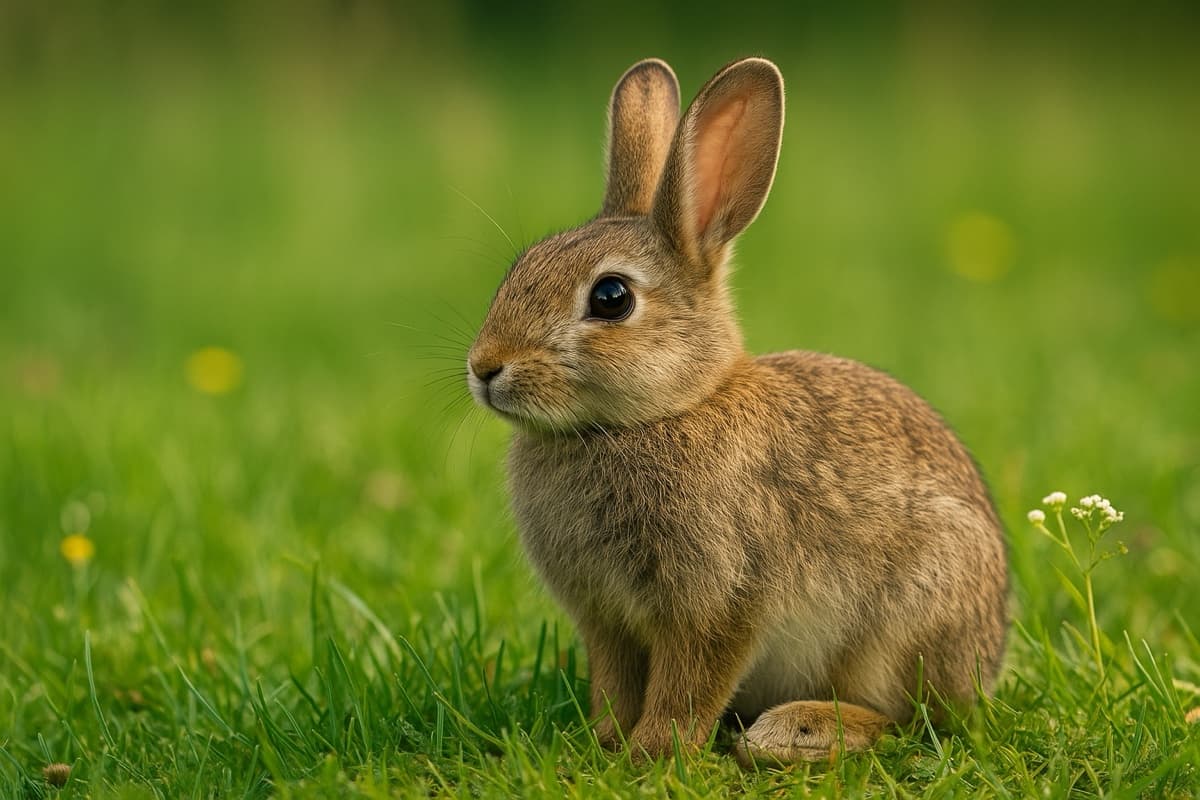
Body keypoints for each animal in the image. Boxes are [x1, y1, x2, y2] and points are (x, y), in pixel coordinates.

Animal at [466, 57, 1008, 766]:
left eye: (611, 297)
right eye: (519, 268)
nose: (484, 368)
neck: (658, 414)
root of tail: (990, 658)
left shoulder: (720, 601)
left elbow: (689, 687)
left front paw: (653, 754)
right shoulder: (605, 621)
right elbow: (615, 684)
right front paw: (603, 743)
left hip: (903, 624)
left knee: (908, 720)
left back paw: (796, 732)